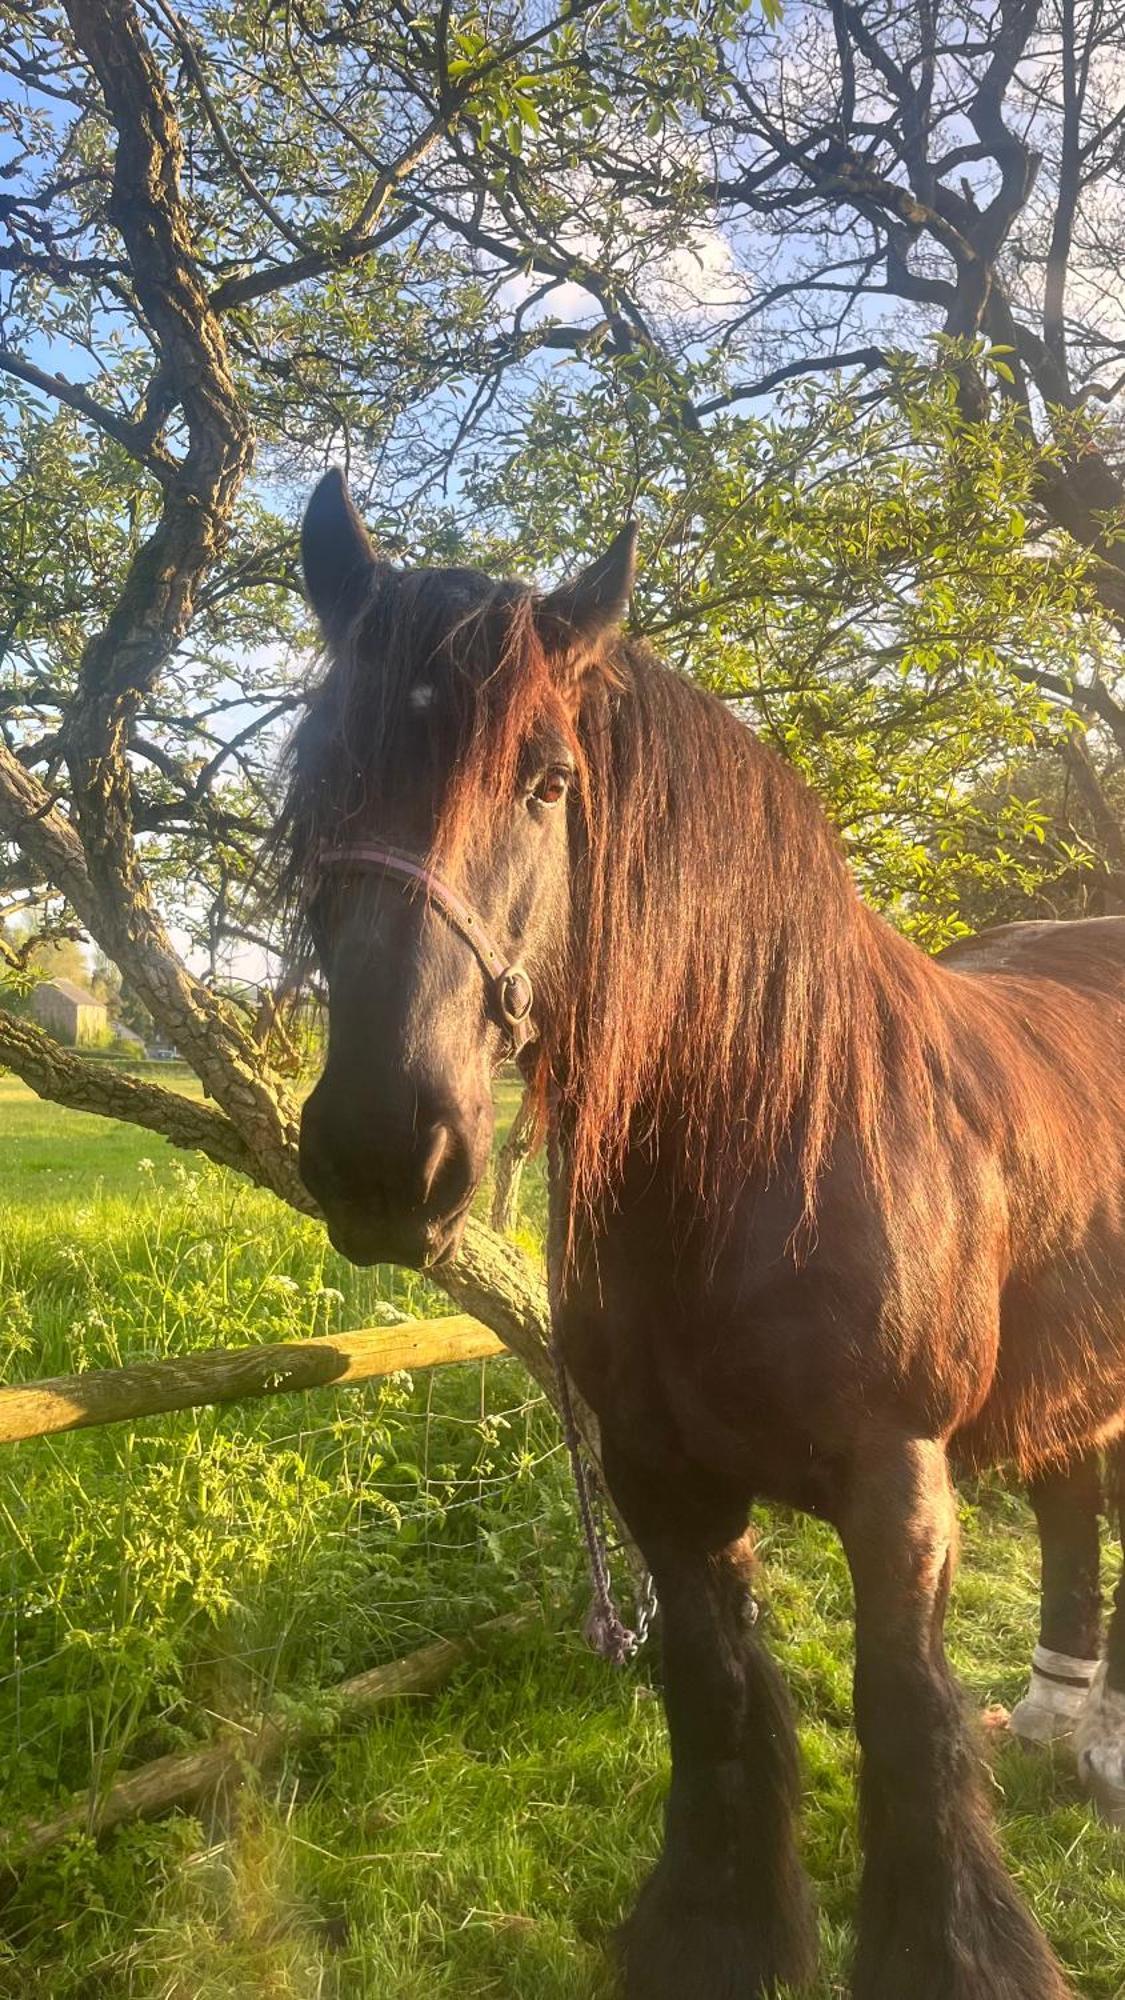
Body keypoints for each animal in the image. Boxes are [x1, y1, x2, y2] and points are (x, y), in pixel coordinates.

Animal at [278, 472, 1120, 2000]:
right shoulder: (663, 1482)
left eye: (548, 780)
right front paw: (724, 1934)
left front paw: (956, 1952)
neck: (762, 1147)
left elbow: (905, 1724)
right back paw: (1060, 1716)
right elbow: (719, 1702)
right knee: (1076, 1492)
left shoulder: (899, 1485)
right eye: (323, 772)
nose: (383, 1153)